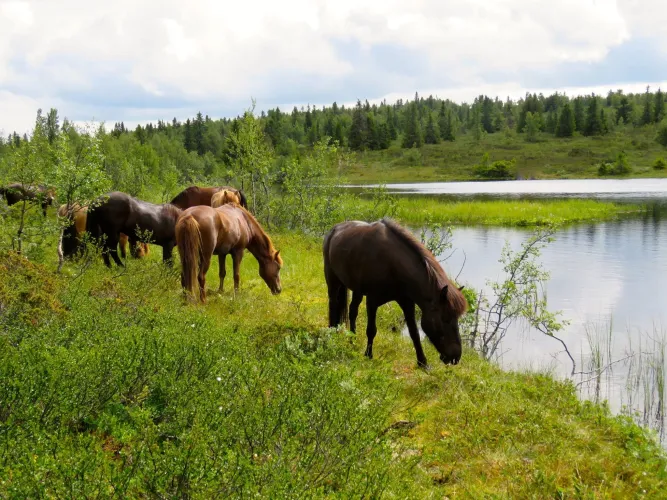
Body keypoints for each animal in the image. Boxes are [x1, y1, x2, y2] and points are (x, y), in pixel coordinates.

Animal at [323, 218, 468, 368]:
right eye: (445, 319)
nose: (455, 357)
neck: (392, 264)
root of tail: (334, 230)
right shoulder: (372, 301)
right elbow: (371, 330)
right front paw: (368, 355)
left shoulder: (407, 302)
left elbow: (414, 332)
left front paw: (422, 362)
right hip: (333, 281)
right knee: (333, 305)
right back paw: (332, 332)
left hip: (357, 290)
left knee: (352, 311)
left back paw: (352, 339)